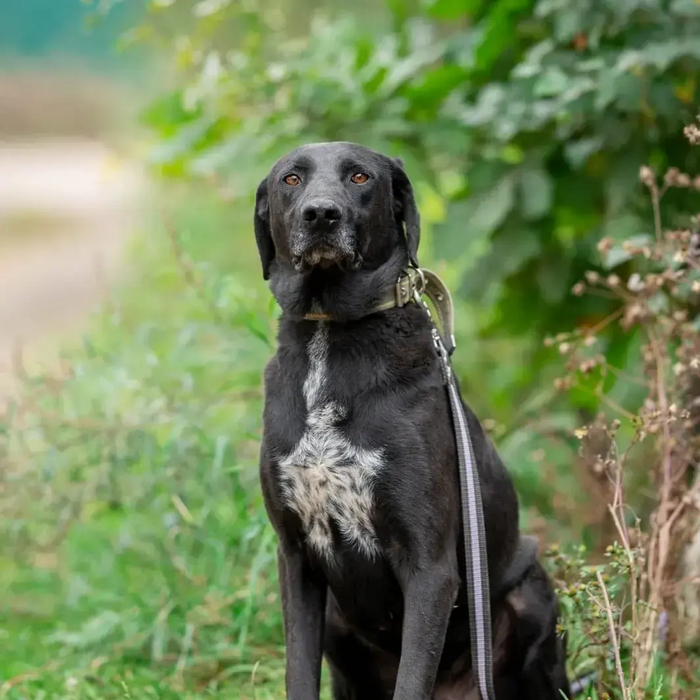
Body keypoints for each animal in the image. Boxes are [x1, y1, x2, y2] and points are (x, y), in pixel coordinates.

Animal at [254, 141, 571, 699]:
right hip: (337, 622)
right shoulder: (295, 559)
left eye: (359, 177)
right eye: (291, 179)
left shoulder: (431, 569)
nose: (321, 214)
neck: (333, 338)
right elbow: (298, 674)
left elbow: (413, 677)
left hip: (530, 596)